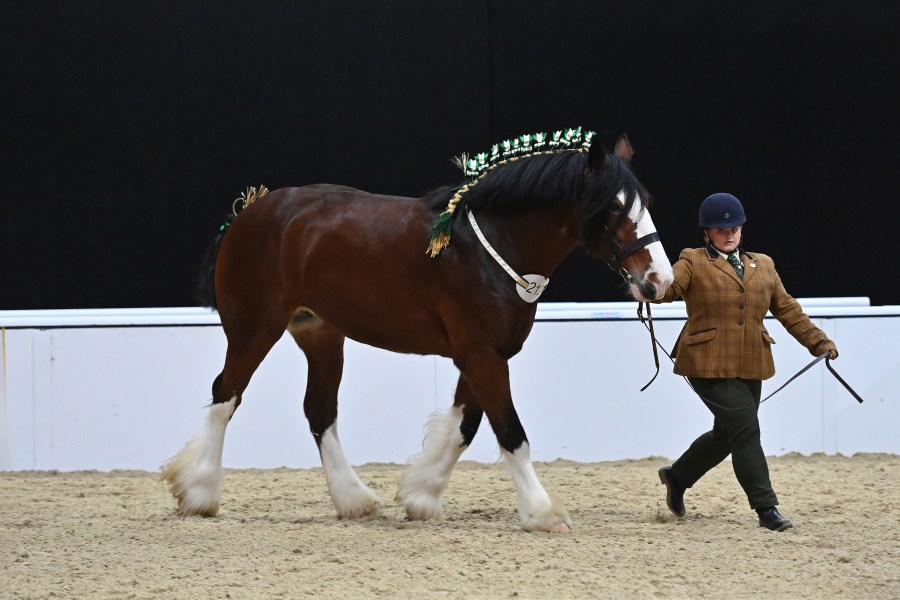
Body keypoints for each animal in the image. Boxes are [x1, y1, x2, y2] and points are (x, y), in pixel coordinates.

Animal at [162, 129, 672, 532]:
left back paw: (354, 500)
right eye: (613, 207)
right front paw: (542, 512)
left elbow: (465, 426)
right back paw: (199, 491)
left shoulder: (485, 354)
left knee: (319, 411)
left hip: (320, 332)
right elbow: (510, 431)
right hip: (253, 327)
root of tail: (249, 210)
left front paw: (422, 496)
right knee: (226, 394)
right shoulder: (480, 354)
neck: (490, 248)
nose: (660, 281)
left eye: (647, 204)